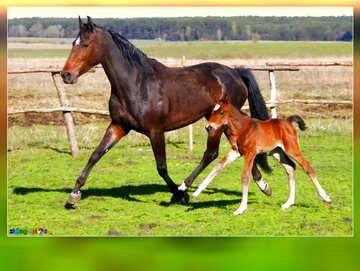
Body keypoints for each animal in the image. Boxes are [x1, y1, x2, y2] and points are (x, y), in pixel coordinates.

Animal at [61, 15, 270, 209]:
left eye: (85, 44)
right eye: (73, 43)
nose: (66, 75)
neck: (137, 84)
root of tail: (236, 73)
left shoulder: (155, 131)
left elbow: (161, 167)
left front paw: (179, 195)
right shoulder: (119, 126)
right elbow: (95, 155)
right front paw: (74, 196)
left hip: (217, 125)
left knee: (210, 153)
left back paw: (185, 186)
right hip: (219, 122)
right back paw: (263, 184)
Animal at [194, 96, 332, 216]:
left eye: (221, 112)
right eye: (213, 111)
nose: (208, 127)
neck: (243, 128)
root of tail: (288, 122)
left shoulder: (250, 153)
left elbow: (245, 176)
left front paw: (241, 209)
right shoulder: (237, 152)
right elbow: (218, 166)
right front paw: (196, 193)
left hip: (292, 149)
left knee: (307, 166)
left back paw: (325, 197)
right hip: (277, 152)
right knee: (291, 167)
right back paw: (288, 203)